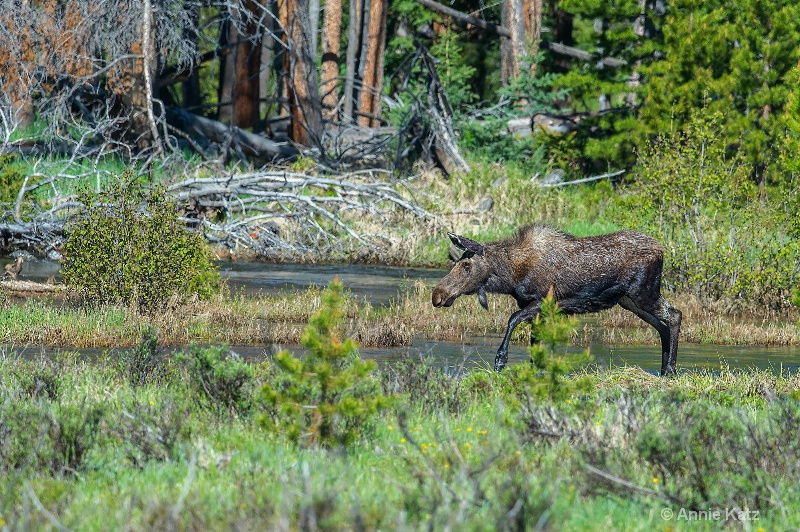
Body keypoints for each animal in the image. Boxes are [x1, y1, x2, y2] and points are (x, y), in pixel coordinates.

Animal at [432, 224, 680, 374]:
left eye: (466, 265)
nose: (437, 295)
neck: (510, 276)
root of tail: (662, 249)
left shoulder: (543, 302)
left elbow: (512, 320)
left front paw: (500, 360)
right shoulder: (534, 308)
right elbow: (534, 344)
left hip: (644, 293)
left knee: (674, 316)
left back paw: (670, 370)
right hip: (629, 300)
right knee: (662, 325)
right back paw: (663, 368)